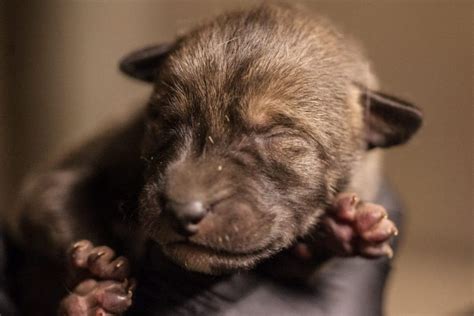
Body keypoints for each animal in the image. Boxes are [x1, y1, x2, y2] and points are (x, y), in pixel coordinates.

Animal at [5, 3, 422, 316]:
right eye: (164, 120)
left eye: (279, 138)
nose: (181, 211)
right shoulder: (63, 174)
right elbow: (58, 204)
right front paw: (94, 274)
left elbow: (298, 262)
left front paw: (346, 229)